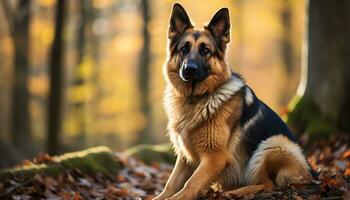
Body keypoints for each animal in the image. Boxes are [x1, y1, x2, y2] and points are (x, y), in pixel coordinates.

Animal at [154, 3, 314, 200]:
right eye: (184, 48)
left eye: (205, 50)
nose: (189, 69)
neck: (195, 99)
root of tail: (310, 173)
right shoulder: (185, 158)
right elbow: (171, 183)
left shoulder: (215, 158)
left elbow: (190, 183)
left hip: (273, 144)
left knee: (268, 185)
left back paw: (237, 192)